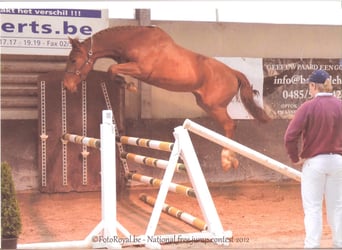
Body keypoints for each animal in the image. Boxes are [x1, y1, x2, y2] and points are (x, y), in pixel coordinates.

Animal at [62, 25, 270, 171]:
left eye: (74, 60)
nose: (67, 85)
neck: (134, 40)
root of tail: (233, 72)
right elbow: (113, 71)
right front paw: (126, 84)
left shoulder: (141, 69)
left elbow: (112, 69)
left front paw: (129, 86)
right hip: (206, 104)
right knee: (229, 126)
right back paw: (230, 159)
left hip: (214, 106)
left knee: (230, 125)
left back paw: (226, 160)